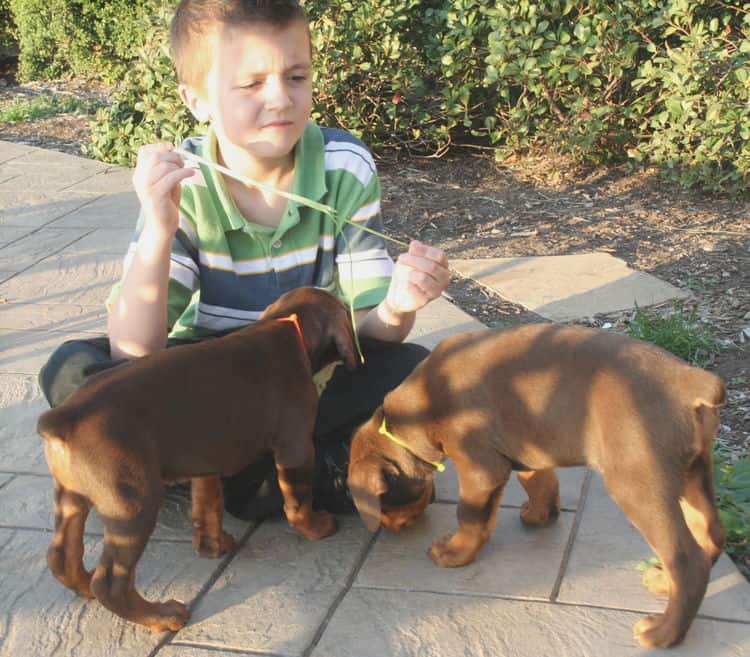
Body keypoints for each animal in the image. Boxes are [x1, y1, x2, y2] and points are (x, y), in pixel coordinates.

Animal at [38, 286, 358, 632]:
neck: (286, 324)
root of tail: (63, 418)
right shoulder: (295, 446)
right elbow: (298, 502)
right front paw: (316, 527)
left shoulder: (205, 464)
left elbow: (208, 507)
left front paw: (212, 546)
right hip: (132, 504)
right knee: (111, 582)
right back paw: (162, 616)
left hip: (71, 497)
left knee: (60, 556)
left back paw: (83, 585)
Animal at [352, 322, 728, 644]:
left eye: (383, 505)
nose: (387, 529)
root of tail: (692, 381)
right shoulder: (527, 449)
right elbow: (539, 481)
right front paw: (540, 515)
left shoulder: (480, 468)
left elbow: (470, 516)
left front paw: (455, 552)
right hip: (693, 471)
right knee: (710, 533)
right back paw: (664, 581)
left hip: (638, 482)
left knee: (687, 559)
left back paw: (663, 632)